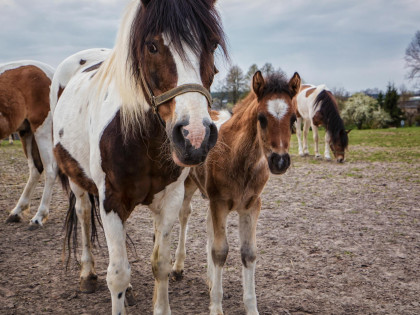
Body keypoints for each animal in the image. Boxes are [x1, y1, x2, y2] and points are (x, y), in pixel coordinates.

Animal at [0, 59, 57, 227]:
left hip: (42, 131)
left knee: (50, 170)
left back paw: (39, 217)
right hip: (27, 132)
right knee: (35, 169)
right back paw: (17, 212)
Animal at [52, 1, 228, 314]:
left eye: (212, 43)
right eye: (152, 46)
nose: (195, 136)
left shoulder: (170, 199)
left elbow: (160, 264)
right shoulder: (110, 200)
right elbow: (118, 274)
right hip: (77, 180)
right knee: (83, 215)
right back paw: (87, 274)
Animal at [172, 71, 300, 315]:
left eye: (294, 119)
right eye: (262, 118)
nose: (279, 161)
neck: (239, 158)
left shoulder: (251, 205)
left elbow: (248, 253)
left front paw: (251, 308)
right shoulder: (220, 203)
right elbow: (220, 251)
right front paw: (216, 307)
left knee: (208, 228)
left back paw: (210, 280)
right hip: (189, 185)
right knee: (184, 216)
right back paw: (177, 268)